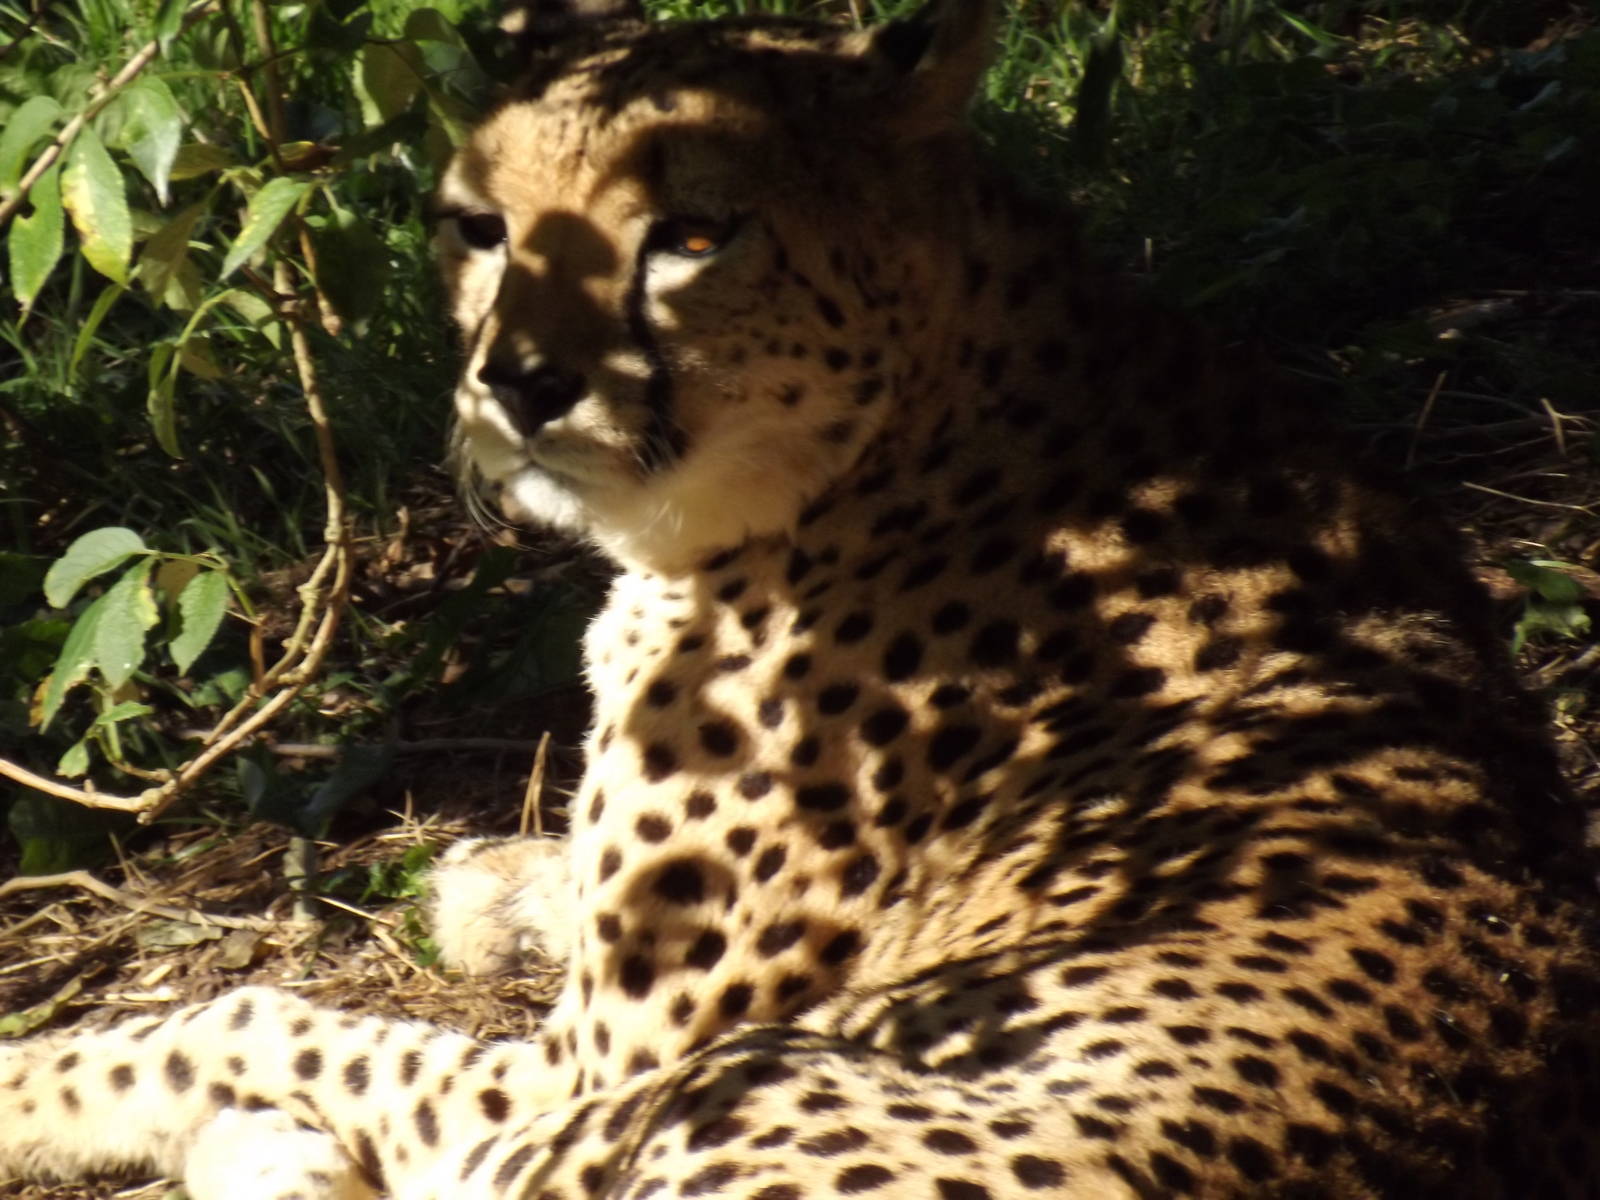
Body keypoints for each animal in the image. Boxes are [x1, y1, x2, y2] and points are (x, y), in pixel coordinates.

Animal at [4, 0, 1600, 1197]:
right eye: (480, 230)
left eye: (695, 234)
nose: (519, 384)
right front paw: (495, 886)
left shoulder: (582, 1076)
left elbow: (253, 1020)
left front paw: (39, 1083)